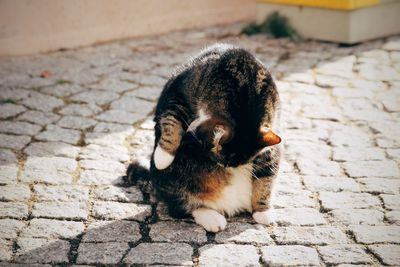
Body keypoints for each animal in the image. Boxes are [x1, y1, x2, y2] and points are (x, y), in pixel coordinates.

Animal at [126, 44, 280, 232]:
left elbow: (266, 179)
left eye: (240, 162)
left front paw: (263, 212)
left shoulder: (271, 149)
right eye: (222, 159)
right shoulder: (178, 94)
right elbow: (172, 119)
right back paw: (212, 218)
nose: (227, 167)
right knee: (181, 208)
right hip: (175, 179)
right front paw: (163, 156)